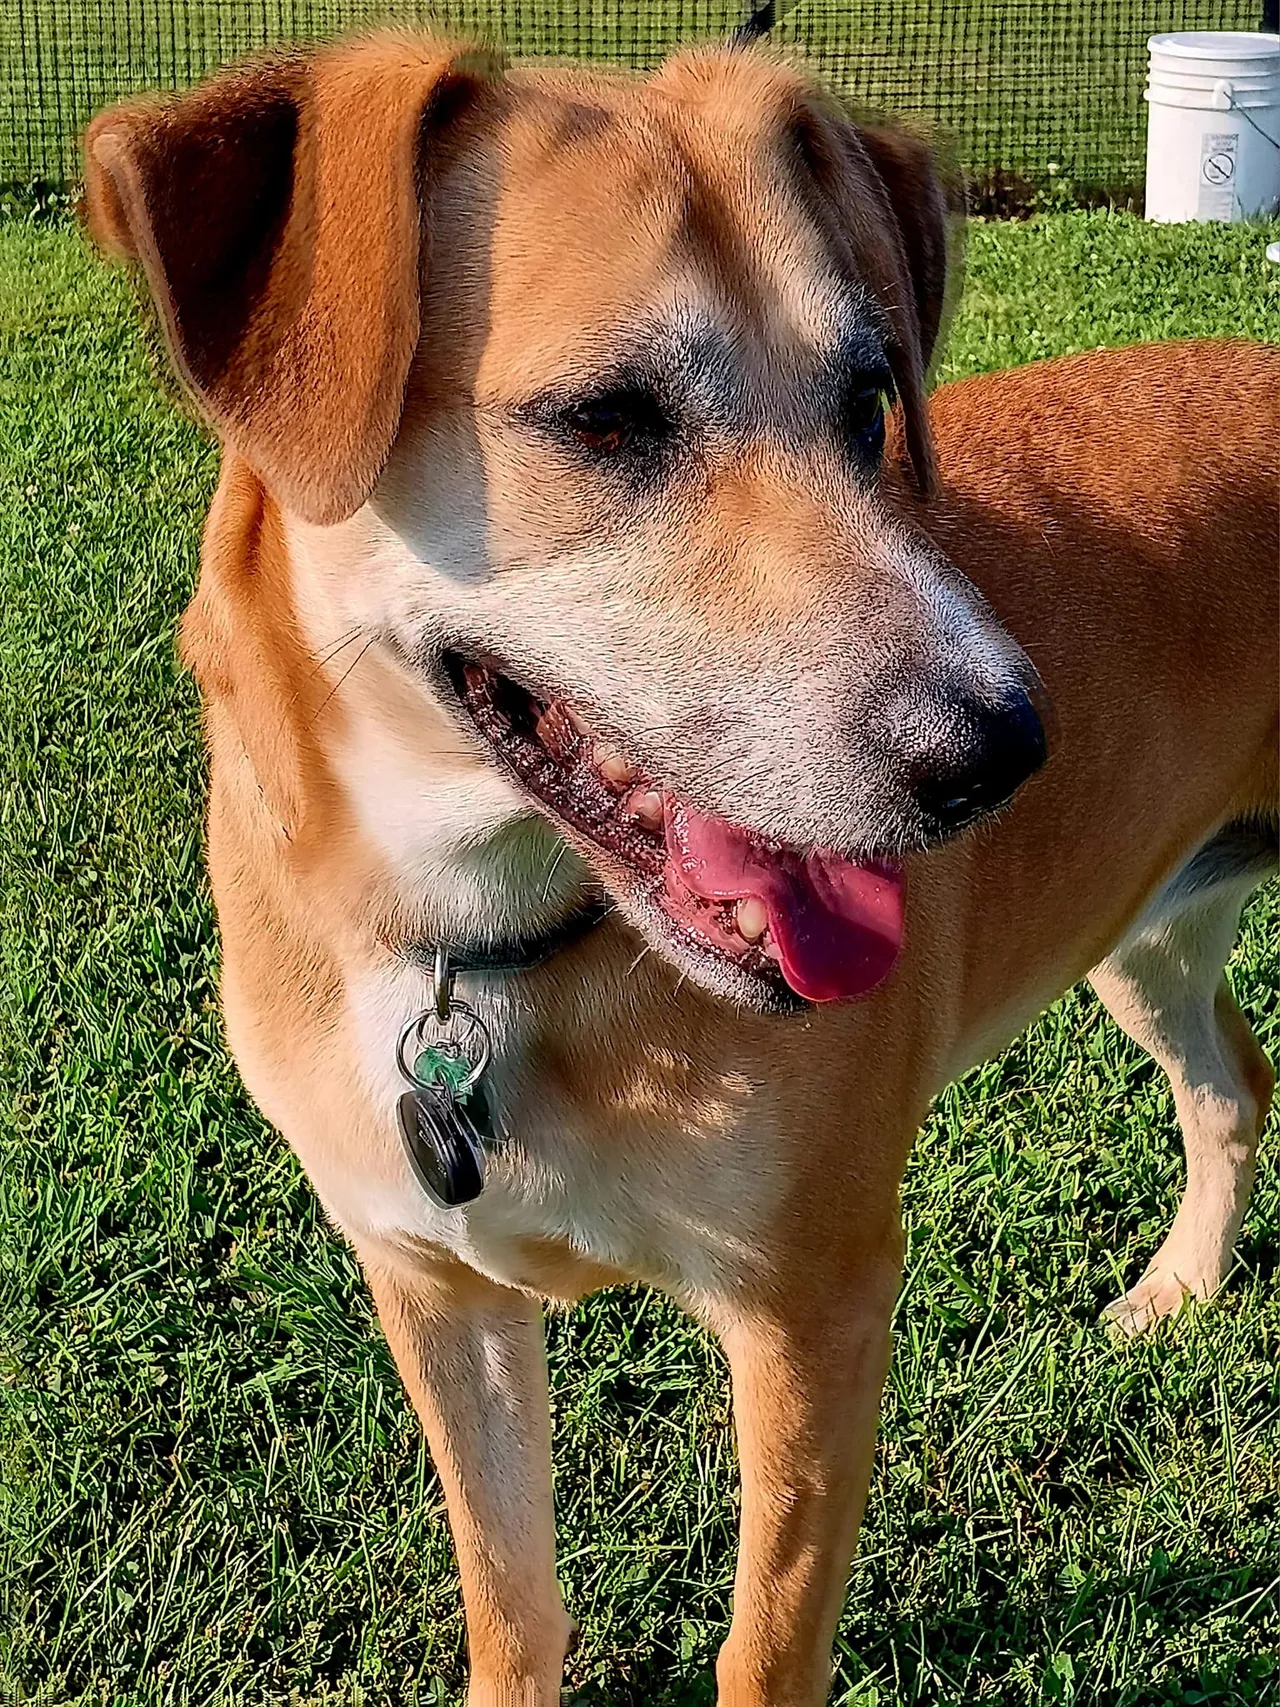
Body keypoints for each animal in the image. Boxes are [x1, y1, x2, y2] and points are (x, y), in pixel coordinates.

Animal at [85, 26, 1276, 1707]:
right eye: (606, 417)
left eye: (869, 398)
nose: (1007, 743)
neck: (493, 948)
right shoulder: (433, 1288)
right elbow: (511, 1597)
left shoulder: (813, 1299)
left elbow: (764, 1642)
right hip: (1146, 930)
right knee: (1232, 1074)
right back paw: (1183, 1281)